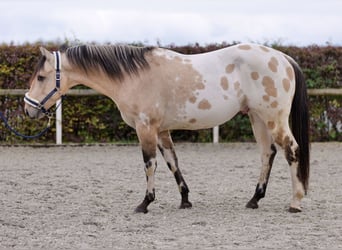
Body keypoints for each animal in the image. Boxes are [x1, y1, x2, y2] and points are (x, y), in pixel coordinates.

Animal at [24, 43, 310, 213]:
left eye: (41, 77)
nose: (28, 109)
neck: (134, 76)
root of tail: (282, 57)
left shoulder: (146, 128)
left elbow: (150, 164)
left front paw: (145, 203)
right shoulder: (161, 131)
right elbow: (173, 162)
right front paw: (185, 200)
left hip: (273, 118)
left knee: (291, 151)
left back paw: (295, 201)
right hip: (258, 119)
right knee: (267, 154)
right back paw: (254, 199)